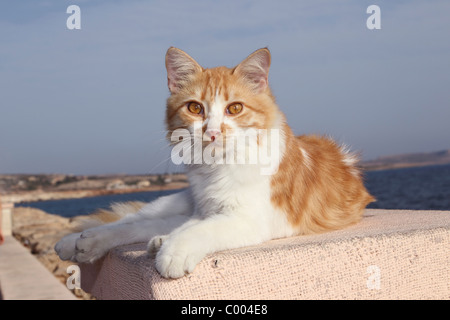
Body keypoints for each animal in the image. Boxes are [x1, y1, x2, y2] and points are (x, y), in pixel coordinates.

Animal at [54, 46, 374, 278]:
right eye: (195, 108)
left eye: (235, 108)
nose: (212, 131)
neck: (215, 170)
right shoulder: (204, 211)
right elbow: (146, 226)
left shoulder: (249, 218)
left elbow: (202, 230)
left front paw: (173, 251)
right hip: (172, 204)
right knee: (130, 220)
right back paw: (77, 240)